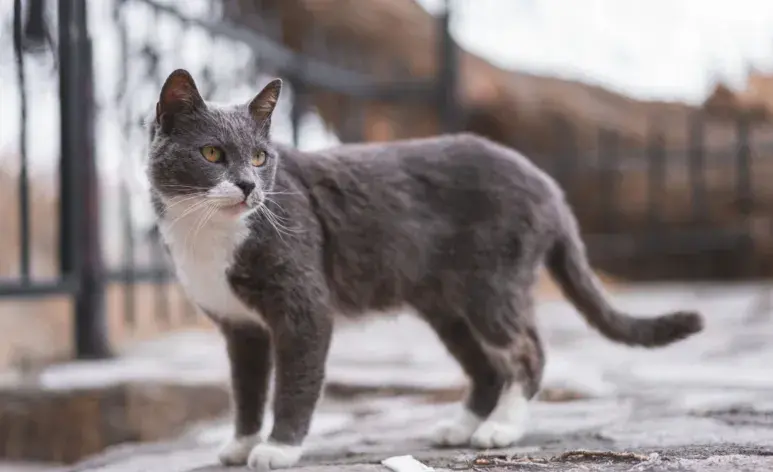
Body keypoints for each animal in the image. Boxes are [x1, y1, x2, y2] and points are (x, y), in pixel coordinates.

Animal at [146, 68, 704, 470]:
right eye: (212, 153)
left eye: (262, 158)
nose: (248, 185)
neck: (208, 236)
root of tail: (547, 183)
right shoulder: (239, 326)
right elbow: (245, 389)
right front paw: (241, 444)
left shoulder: (303, 310)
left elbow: (295, 383)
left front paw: (279, 448)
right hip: (447, 306)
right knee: (485, 367)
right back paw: (461, 428)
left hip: (492, 287)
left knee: (526, 351)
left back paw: (502, 428)